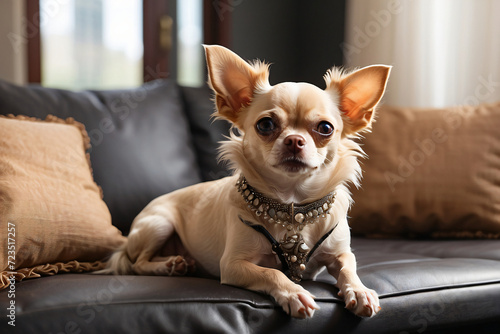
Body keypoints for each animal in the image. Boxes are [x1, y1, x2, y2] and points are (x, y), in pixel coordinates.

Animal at [103, 44, 392, 318]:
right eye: (265, 125)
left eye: (325, 128)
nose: (294, 140)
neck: (292, 204)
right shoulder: (232, 265)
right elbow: (272, 273)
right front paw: (294, 293)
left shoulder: (340, 254)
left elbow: (349, 269)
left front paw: (360, 291)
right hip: (158, 224)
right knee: (137, 263)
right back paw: (168, 266)